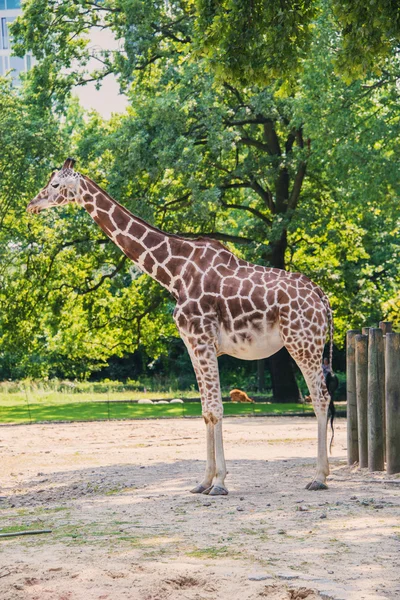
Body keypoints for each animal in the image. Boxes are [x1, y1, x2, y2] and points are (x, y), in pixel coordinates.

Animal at [27, 157, 334, 494]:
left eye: (55, 184)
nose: (32, 204)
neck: (173, 273)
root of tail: (323, 298)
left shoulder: (202, 341)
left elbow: (216, 408)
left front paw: (220, 483)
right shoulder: (192, 345)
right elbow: (205, 412)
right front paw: (204, 482)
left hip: (303, 344)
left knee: (321, 398)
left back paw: (319, 477)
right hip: (307, 345)